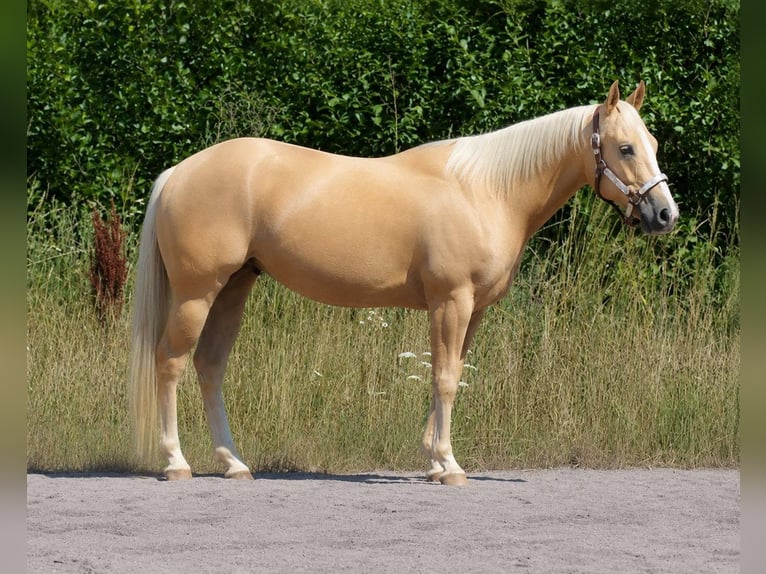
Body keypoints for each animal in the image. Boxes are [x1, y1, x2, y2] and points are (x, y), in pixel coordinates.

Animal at [128, 80, 678, 485]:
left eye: (652, 145)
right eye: (625, 148)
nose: (665, 214)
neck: (485, 192)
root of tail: (178, 172)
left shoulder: (469, 309)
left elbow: (449, 374)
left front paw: (434, 461)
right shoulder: (451, 300)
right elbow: (446, 378)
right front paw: (449, 466)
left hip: (234, 288)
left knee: (209, 366)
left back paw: (233, 464)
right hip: (197, 293)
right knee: (170, 362)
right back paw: (176, 463)